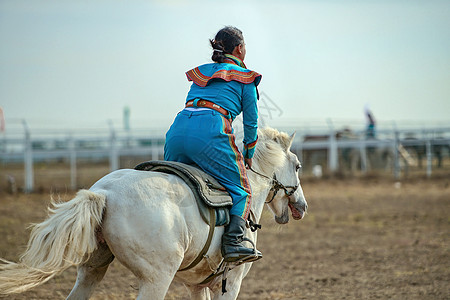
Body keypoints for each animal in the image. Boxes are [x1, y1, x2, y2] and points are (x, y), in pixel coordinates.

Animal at [0, 127, 308, 300]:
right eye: (297, 165)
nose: (302, 206)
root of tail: (105, 194)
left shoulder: (196, 286)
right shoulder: (230, 284)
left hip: (91, 271)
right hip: (156, 279)